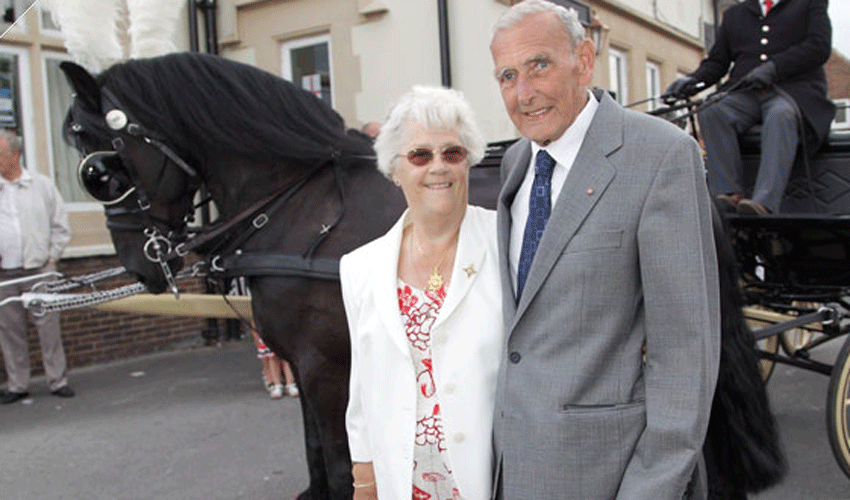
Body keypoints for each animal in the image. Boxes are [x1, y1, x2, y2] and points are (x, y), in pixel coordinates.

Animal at [63, 51, 780, 500]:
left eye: (101, 165)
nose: (139, 261)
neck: (294, 205)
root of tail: (693, 165)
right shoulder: (313, 363)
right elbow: (324, 456)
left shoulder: (322, 366)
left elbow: (336, 464)